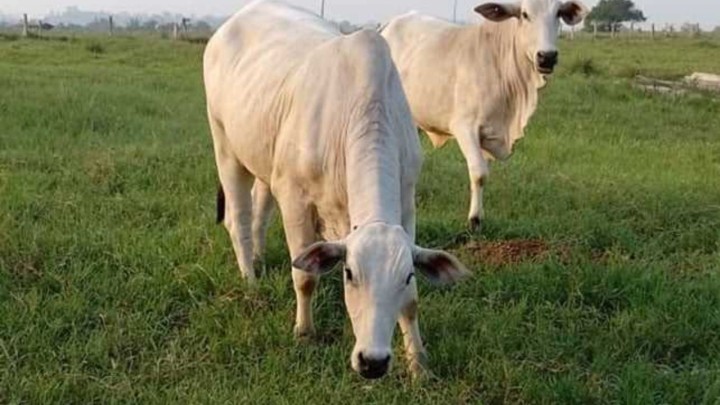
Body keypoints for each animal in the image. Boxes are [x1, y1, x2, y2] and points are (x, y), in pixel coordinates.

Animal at [203, 0, 469, 380]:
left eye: (406, 276)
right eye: (349, 273)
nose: (373, 361)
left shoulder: (406, 203)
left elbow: (412, 302)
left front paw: (419, 364)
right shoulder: (296, 200)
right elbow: (304, 276)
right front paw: (304, 332)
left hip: (265, 160)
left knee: (260, 210)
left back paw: (257, 258)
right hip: (225, 146)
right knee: (237, 219)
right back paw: (250, 280)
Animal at [381, 0, 588, 231]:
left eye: (558, 14)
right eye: (525, 15)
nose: (547, 56)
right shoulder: (465, 128)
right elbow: (479, 172)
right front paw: (474, 219)